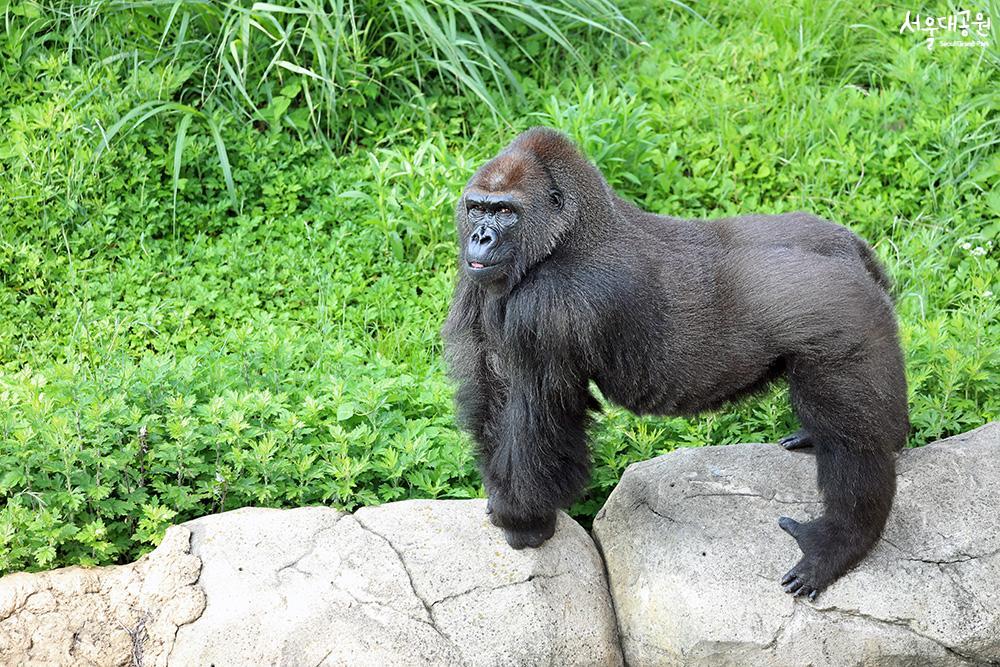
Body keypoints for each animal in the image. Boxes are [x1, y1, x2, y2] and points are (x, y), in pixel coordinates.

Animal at [442, 126, 912, 600]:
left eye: (505, 212)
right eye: (477, 208)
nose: (480, 238)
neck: (569, 232)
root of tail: (849, 247)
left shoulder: (547, 308)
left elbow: (539, 419)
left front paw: (524, 519)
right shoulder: (479, 280)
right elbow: (493, 390)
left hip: (846, 319)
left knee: (852, 439)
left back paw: (842, 540)